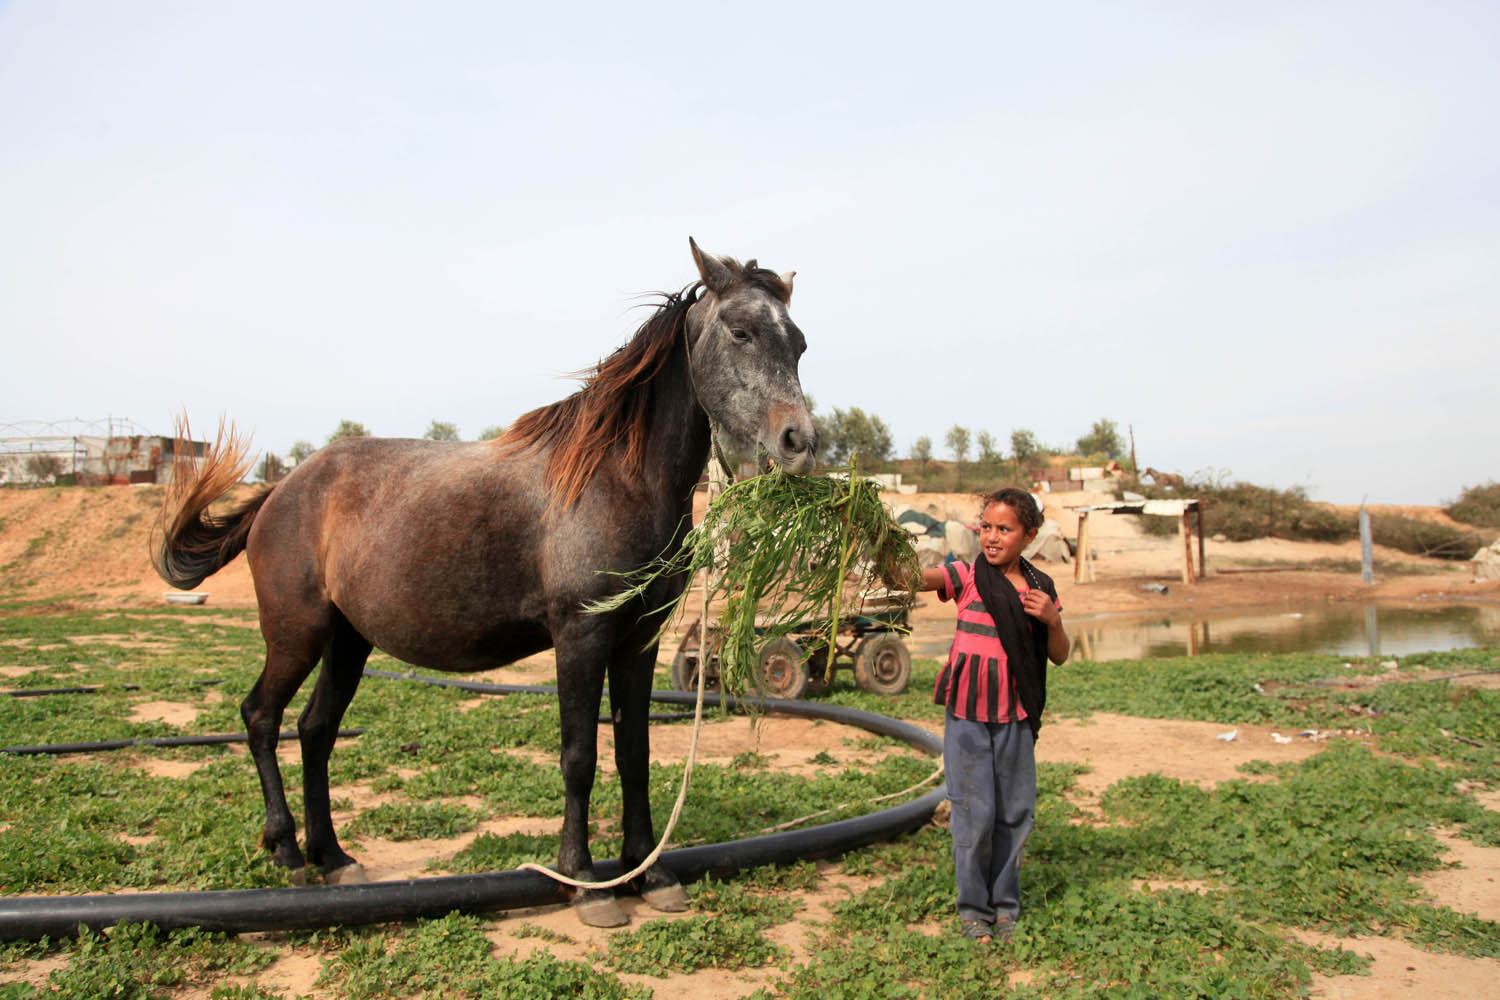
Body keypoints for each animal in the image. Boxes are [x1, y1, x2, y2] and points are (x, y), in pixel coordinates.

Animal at [152, 238, 816, 929]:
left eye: (798, 343)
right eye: (740, 331)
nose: (800, 441)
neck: (616, 479)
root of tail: (282, 490)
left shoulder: (639, 640)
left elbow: (634, 755)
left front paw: (650, 873)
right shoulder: (581, 637)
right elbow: (579, 758)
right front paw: (587, 884)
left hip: (348, 642)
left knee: (314, 731)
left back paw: (333, 857)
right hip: (295, 634)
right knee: (261, 717)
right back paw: (285, 849)